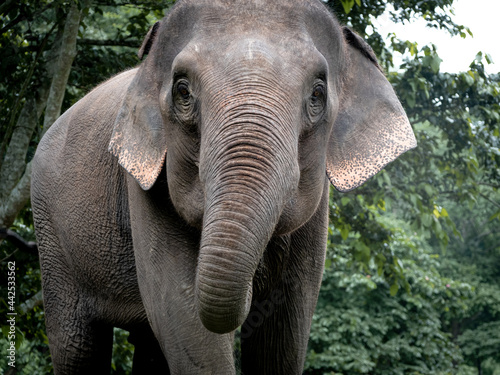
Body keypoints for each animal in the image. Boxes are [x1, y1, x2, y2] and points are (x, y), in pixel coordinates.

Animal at [30, 0, 414, 374]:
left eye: (318, 94)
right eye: (183, 91)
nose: (254, 283)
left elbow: (286, 327)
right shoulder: (143, 185)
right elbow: (181, 313)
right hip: (52, 237)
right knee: (77, 346)